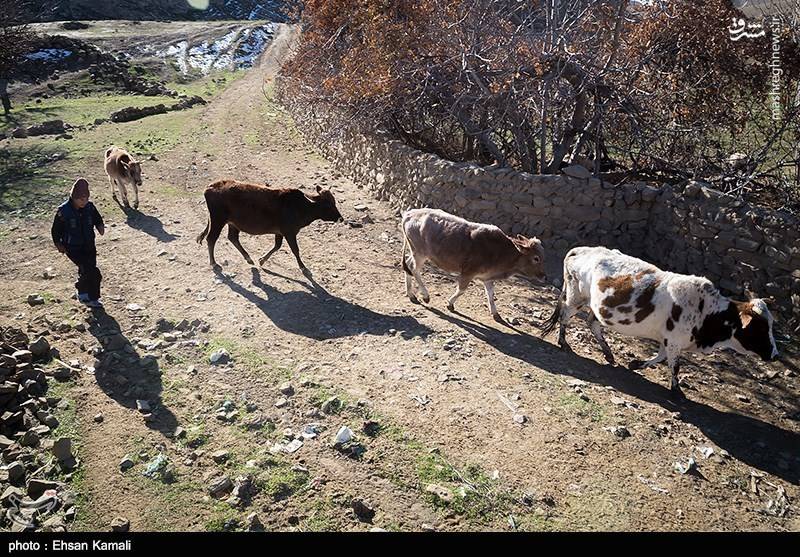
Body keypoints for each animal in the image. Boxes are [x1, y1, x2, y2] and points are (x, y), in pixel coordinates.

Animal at [198, 179, 342, 274]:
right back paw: (214, 263)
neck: (301, 206)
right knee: (211, 239)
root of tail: (210, 187)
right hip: (218, 220)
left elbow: (277, 246)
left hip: (232, 223)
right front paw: (303, 267)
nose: (340, 218)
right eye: (328, 205)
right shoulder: (290, 232)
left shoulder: (279, 233)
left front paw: (262, 260)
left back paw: (248, 258)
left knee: (232, 238)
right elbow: (295, 250)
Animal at [404, 207, 548, 322]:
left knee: (408, 265)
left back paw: (411, 295)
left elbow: (491, 295)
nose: (544, 276)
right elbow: (461, 290)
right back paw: (425, 296)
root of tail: (409, 213)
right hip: (420, 253)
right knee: (414, 269)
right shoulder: (468, 272)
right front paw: (450, 304)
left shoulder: (487, 277)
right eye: (536, 258)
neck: (500, 251)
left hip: (415, 251)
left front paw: (496, 314)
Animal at [540, 245, 780, 398]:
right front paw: (677, 391)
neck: (707, 312)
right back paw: (564, 343)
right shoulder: (674, 341)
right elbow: (675, 365)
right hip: (575, 297)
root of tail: (581, 249)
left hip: (597, 308)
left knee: (593, 324)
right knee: (565, 316)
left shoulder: (669, 341)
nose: (776, 355)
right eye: (759, 328)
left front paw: (636, 364)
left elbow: (661, 357)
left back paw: (608, 353)